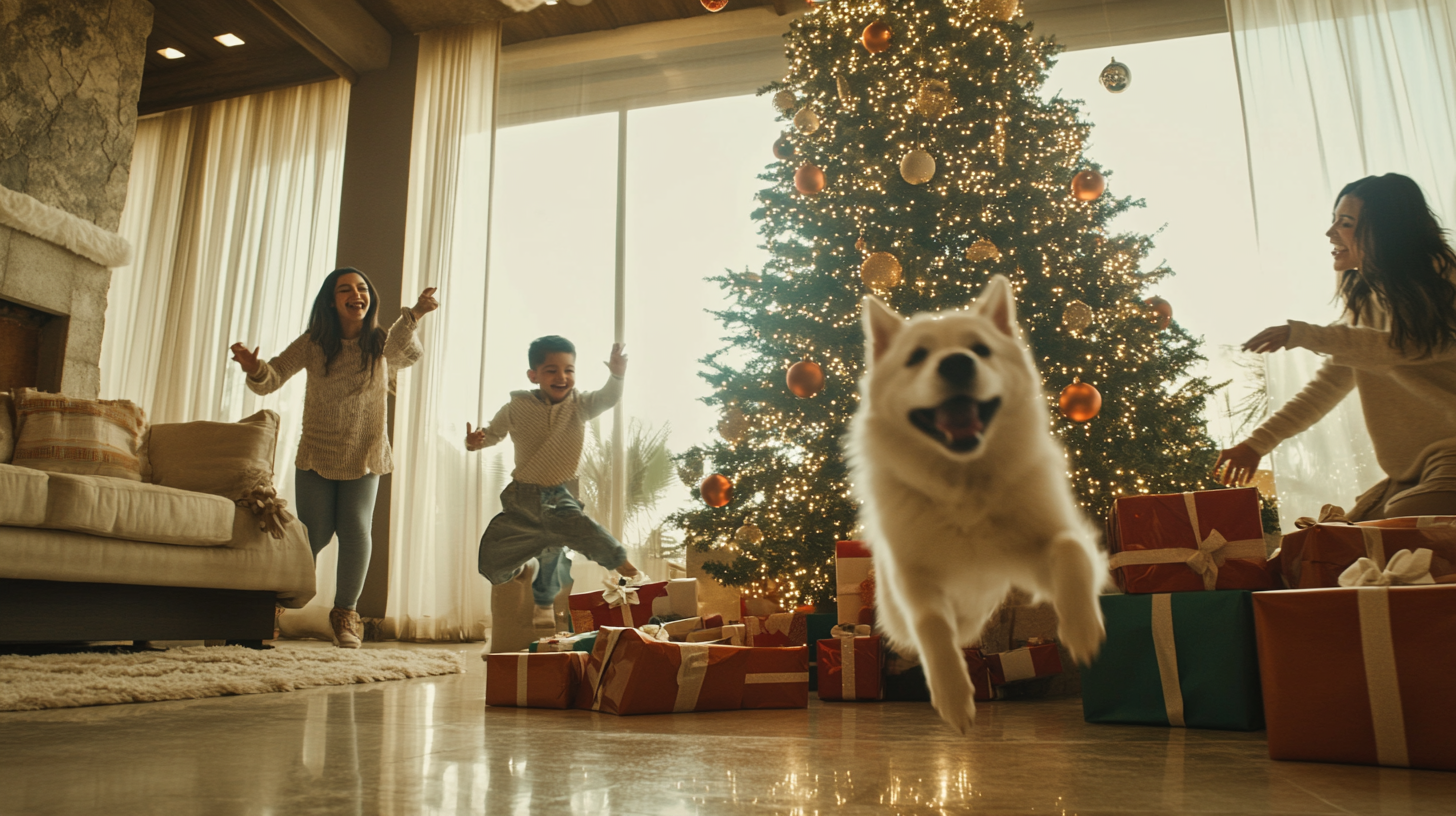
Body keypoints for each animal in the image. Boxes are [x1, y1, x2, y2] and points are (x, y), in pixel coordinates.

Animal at [844, 273, 1100, 734]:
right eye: (917, 356)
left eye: (980, 349)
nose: (957, 363)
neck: (962, 487)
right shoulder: (913, 577)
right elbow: (931, 624)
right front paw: (953, 695)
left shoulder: (1041, 549)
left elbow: (1070, 549)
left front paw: (1083, 629)